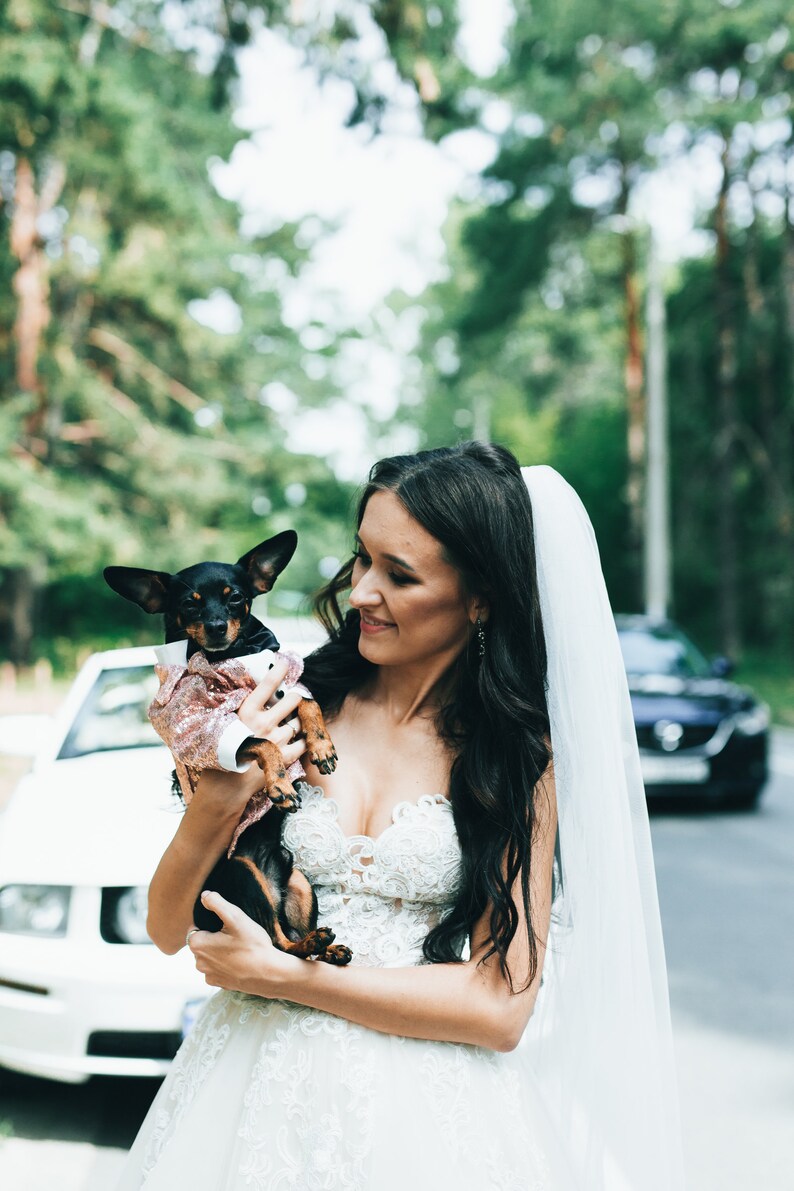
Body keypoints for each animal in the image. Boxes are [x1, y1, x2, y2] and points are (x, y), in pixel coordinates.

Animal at [104, 533, 352, 967]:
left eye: (235, 598)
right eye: (190, 604)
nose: (218, 626)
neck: (237, 655)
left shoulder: (287, 687)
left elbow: (308, 703)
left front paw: (322, 746)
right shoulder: (205, 727)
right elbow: (259, 740)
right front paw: (279, 784)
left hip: (299, 884)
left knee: (290, 940)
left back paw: (327, 946)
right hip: (243, 875)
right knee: (277, 943)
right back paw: (312, 943)